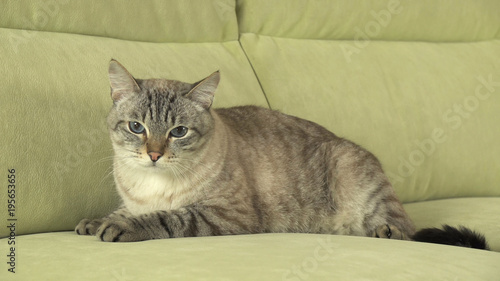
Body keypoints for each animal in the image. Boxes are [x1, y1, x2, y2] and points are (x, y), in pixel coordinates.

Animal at [75, 58, 488, 247]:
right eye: (137, 128)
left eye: (178, 132)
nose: (154, 155)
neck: (151, 184)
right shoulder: (134, 199)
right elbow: (121, 211)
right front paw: (95, 222)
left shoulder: (225, 215)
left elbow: (165, 218)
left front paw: (119, 228)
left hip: (358, 181)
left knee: (404, 229)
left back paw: (384, 232)